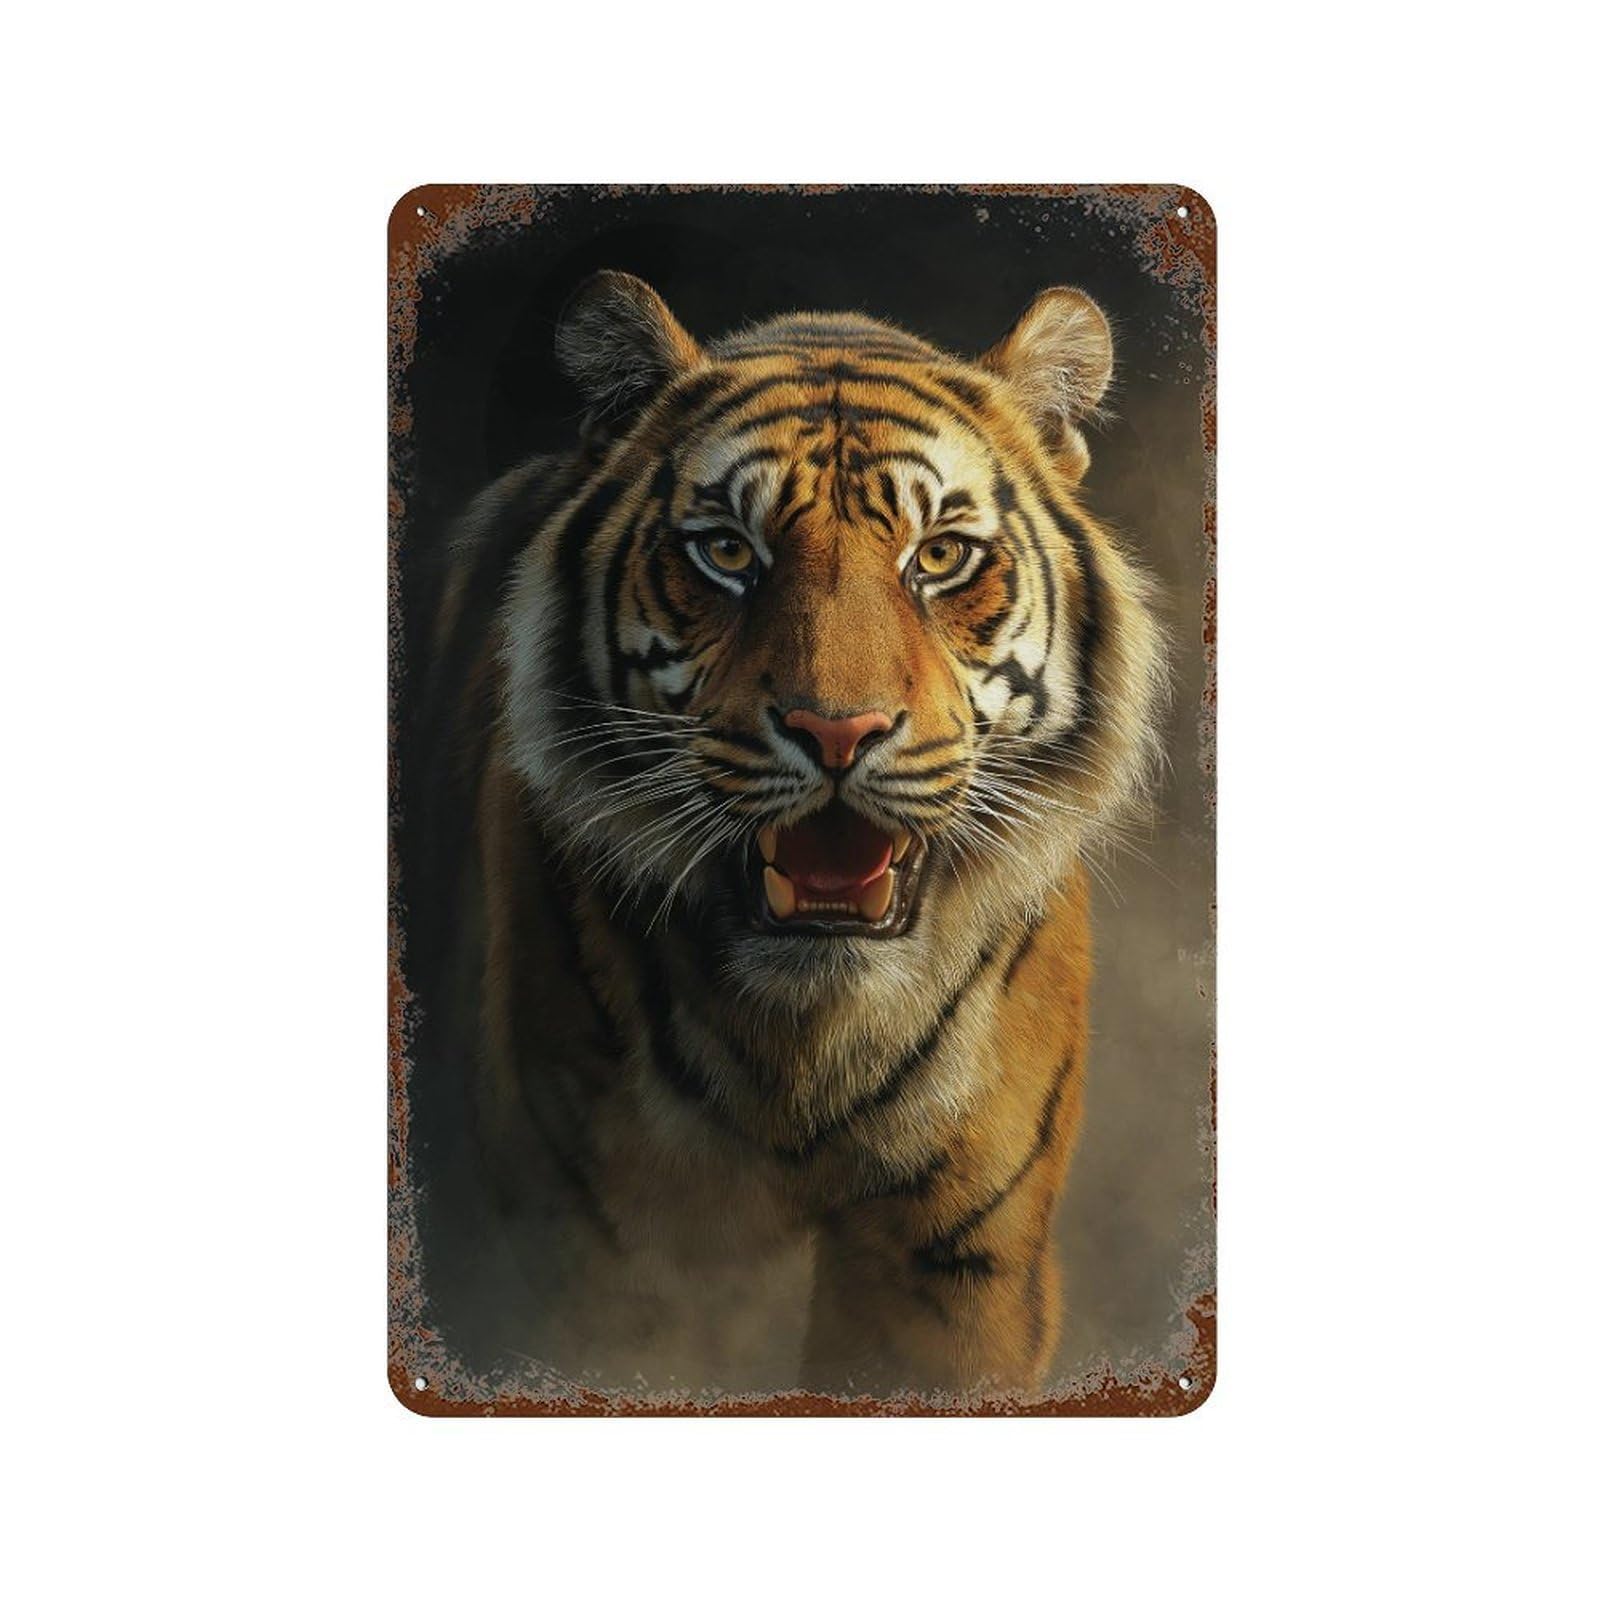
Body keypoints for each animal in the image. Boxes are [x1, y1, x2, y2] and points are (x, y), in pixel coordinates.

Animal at [411, 270, 1165, 1400]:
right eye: (729, 551)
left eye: (940, 555)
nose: (837, 730)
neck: (808, 1038)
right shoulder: (582, 1246)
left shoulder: (956, 1257)